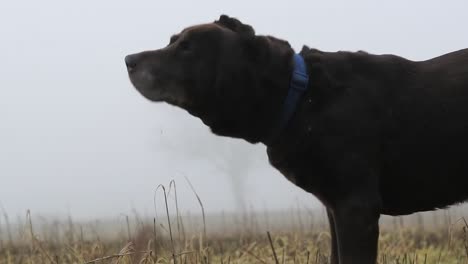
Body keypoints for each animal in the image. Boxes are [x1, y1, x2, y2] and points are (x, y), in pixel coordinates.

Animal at [124, 14, 468, 264]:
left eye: (186, 48)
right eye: (172, 41)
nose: (128, 59)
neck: (300, 95)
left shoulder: (356, 207)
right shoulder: (335, 208)